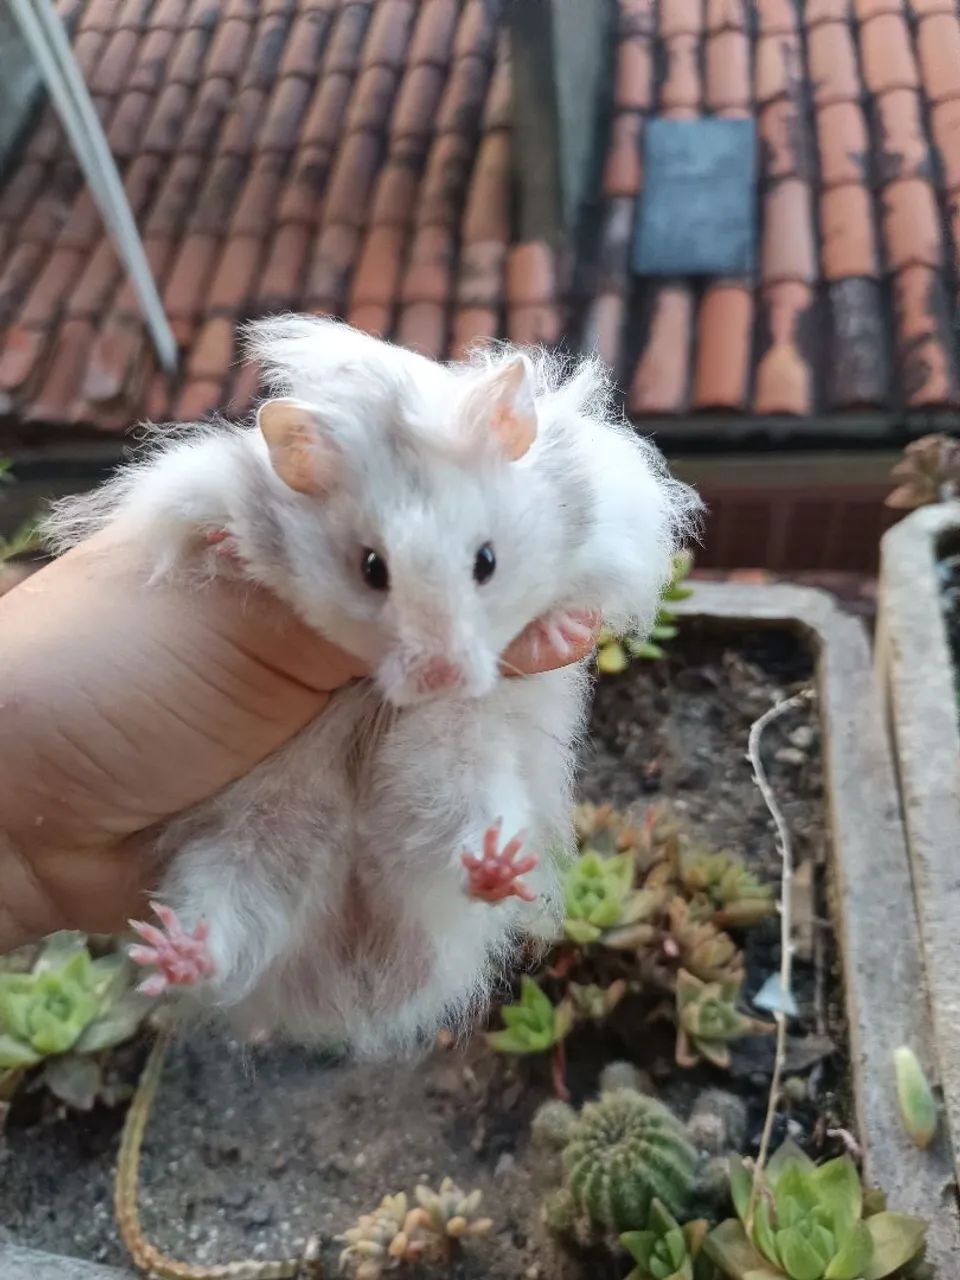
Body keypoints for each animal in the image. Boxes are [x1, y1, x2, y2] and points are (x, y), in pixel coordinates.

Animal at [44, 315, 699, 1058]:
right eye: (371, 568)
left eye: (487, 560)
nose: (441, 678)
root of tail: (360, 936)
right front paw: (231, 547)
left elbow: (574, 599)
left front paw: (557, 631)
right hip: (251, 845)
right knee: (228, 925)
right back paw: (178, 953)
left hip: (453, 776)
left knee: (460, 842)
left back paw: (495, 867)